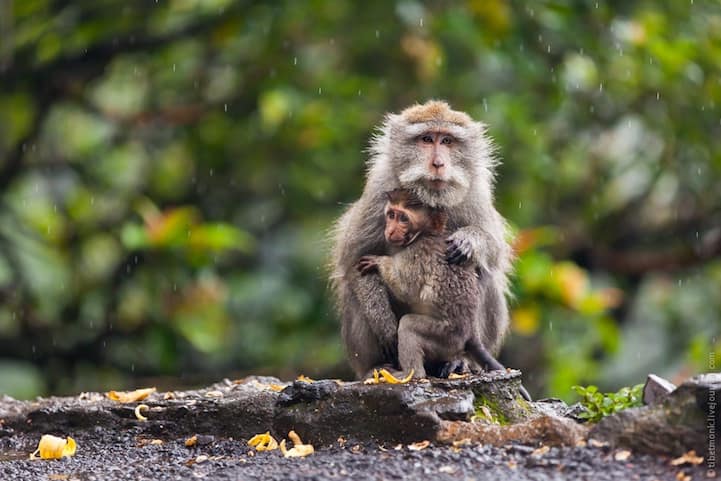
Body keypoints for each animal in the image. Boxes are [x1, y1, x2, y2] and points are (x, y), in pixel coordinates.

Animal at [330, 100, 512, 381]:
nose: (438, 163)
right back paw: (376, 367)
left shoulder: (475, 193)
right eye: (426, 139)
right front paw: (383, 323)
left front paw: (470, 240)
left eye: (447, 141)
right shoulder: (378, 190)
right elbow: (354, 259)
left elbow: (494, 252)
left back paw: (461, 361)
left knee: (484, 275)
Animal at [355, 190, 531, 401]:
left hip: (445, 335)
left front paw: (379, 263)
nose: (389, 230)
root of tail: (471, 333)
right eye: (391, 215)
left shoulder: (416, 253)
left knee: (408, 326)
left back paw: (410, 374)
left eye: (402, 218)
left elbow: (405, 287)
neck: (426, 233)